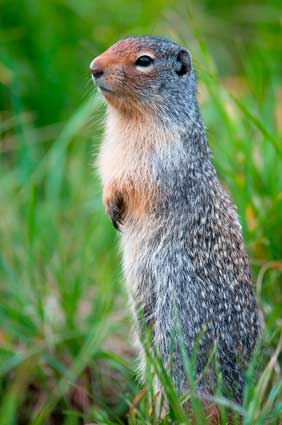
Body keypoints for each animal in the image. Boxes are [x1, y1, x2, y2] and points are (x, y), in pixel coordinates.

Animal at [90, 38, 260, 406]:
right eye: (113, 45)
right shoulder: (111, 155)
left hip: (178, 321)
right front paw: (110, 207)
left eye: (143, 61)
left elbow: (137, 184)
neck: (129, 120)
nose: (94, 67)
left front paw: (116, 205)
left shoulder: (160, 161)